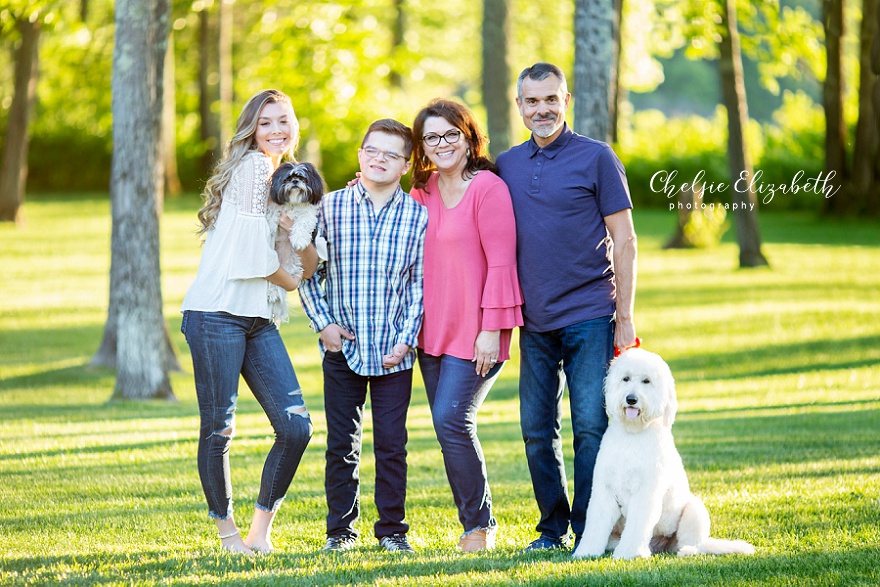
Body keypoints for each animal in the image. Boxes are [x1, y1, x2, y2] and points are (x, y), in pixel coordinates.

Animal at [268, 161, 326, 326]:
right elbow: (272, 213)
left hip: (291, 267)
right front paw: (270, 224)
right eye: (287, 179)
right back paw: (271, 292)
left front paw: (299, 240)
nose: (295, 181)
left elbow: (302, 223)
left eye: (303, 178)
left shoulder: (308, 214)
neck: (294, 204)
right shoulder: (276, 207)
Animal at [572, 350, 756, 560]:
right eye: (625, 379)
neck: (633, 434)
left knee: (694, 544)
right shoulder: (604, 491)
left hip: (695, 511)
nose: (631, 399)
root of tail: (658, 546)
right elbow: (596, 523)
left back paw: (687, 551)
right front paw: (586, 551)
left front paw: (629, 553)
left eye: (646, 381)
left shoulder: (646, 493)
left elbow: (637, 525)